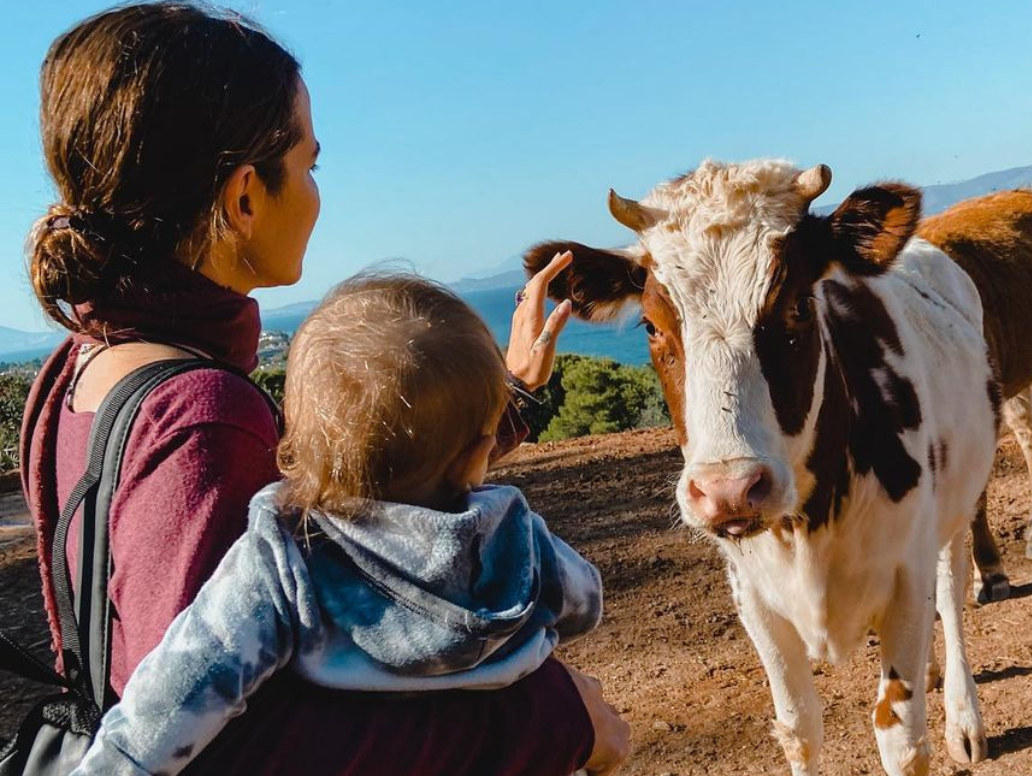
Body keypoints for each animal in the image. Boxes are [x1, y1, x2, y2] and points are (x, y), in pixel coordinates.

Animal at [524, 158, 998, 776]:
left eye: (797, 304)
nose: (729, 490)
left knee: (950, 591)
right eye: (651, 326)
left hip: (955, 509)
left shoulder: (904, 577)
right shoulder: (753, 597)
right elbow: (799, 728)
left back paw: (964, 715)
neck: (808, 528)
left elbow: (901, 738)